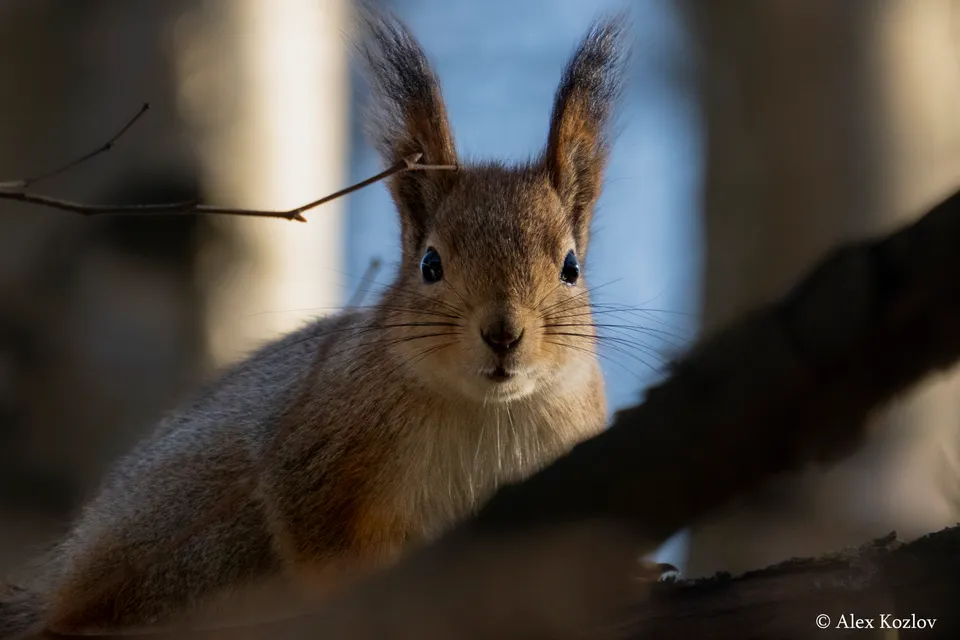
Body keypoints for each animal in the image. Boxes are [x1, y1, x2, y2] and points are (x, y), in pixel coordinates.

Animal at [0, 8, 627, 639]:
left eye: (571, 267)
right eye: (430, 264)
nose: (502, 333)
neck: (487, 411)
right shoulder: (316, 454)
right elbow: (321, 544)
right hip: (198, 529)